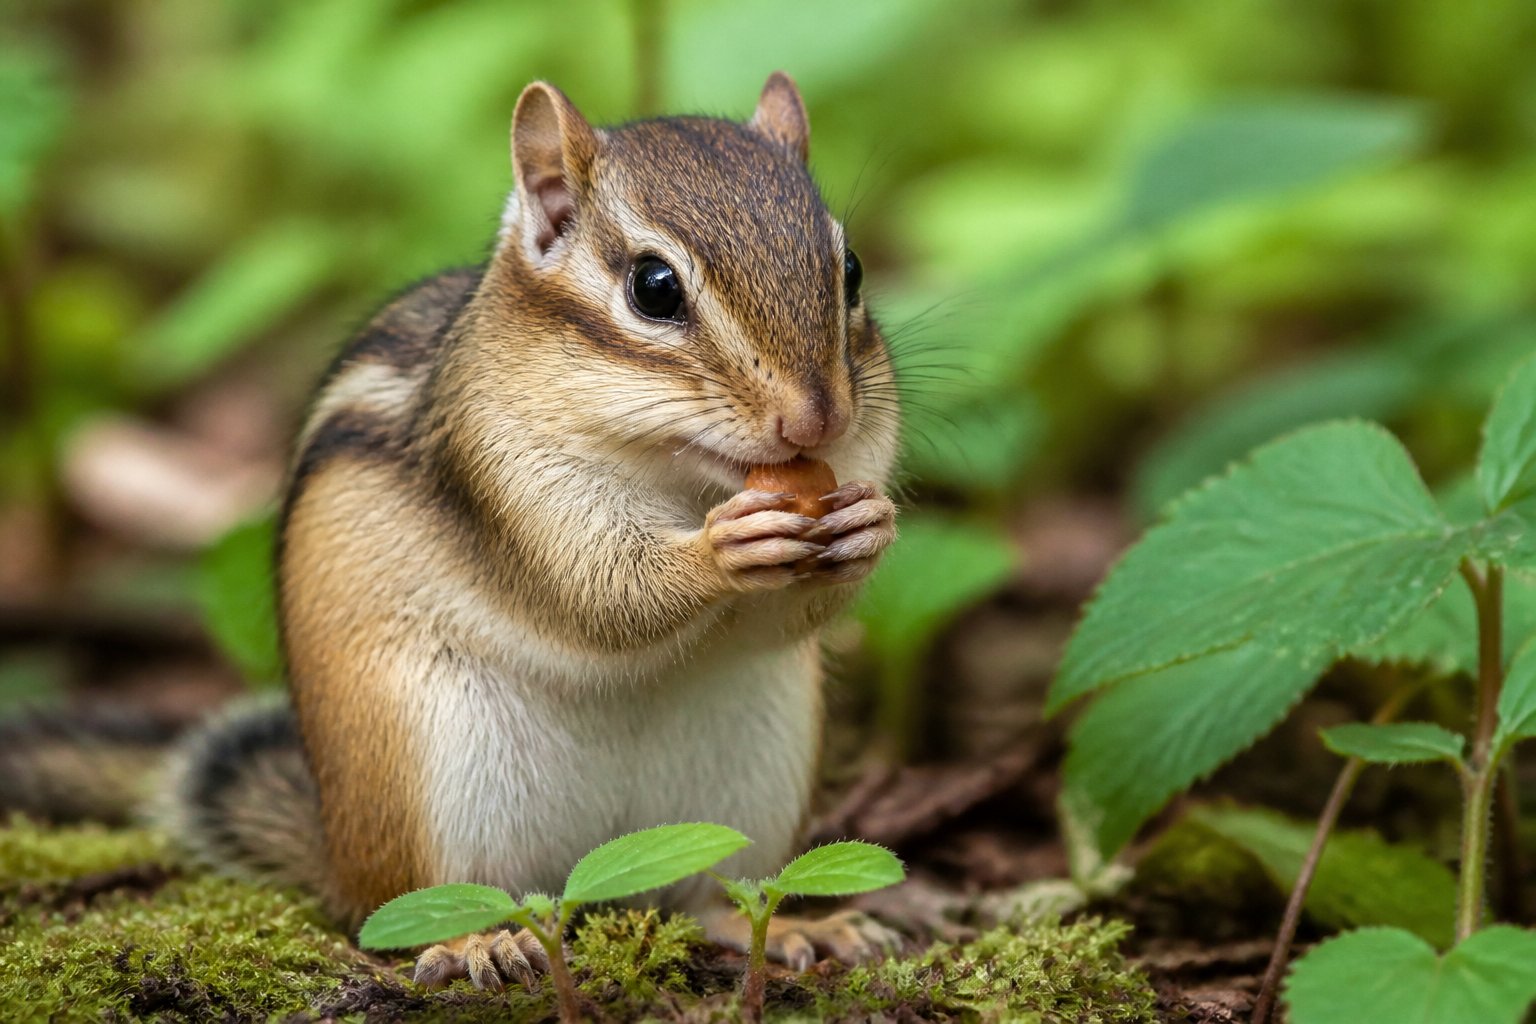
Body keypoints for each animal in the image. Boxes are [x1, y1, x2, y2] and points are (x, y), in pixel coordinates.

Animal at [0, 71, 901, 990]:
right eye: (654, 287)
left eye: (852, 270)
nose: (817, 421)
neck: (680, 474)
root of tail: (336, 850)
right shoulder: (505, 476)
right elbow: (601, 594)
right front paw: (724, 548)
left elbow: (791, 614)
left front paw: (869, 523)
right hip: (427, 766)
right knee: (410, 913)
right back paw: (477, 943)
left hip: (751, 781)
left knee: (717, 896)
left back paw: (804, 929)